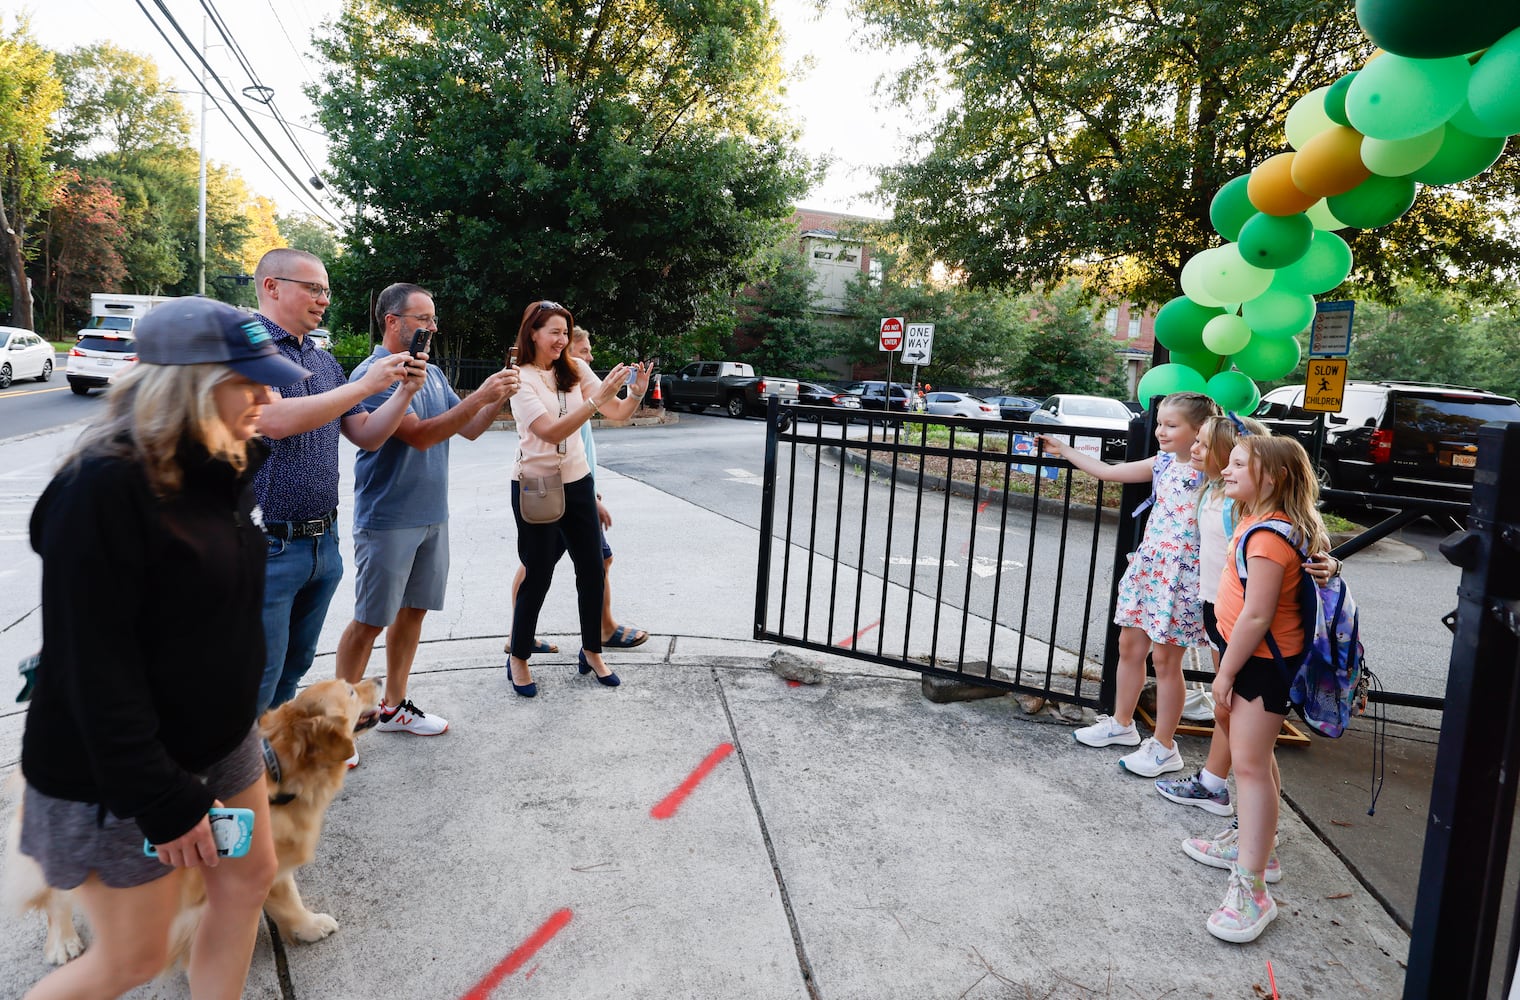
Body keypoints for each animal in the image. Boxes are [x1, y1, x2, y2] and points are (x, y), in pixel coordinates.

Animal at [2, 674, 380, 960]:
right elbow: (286, 902)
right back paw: (63, 942)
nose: (377, 678)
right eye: (349, 690)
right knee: (55, 899)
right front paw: (309, 927)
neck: (280, 769)